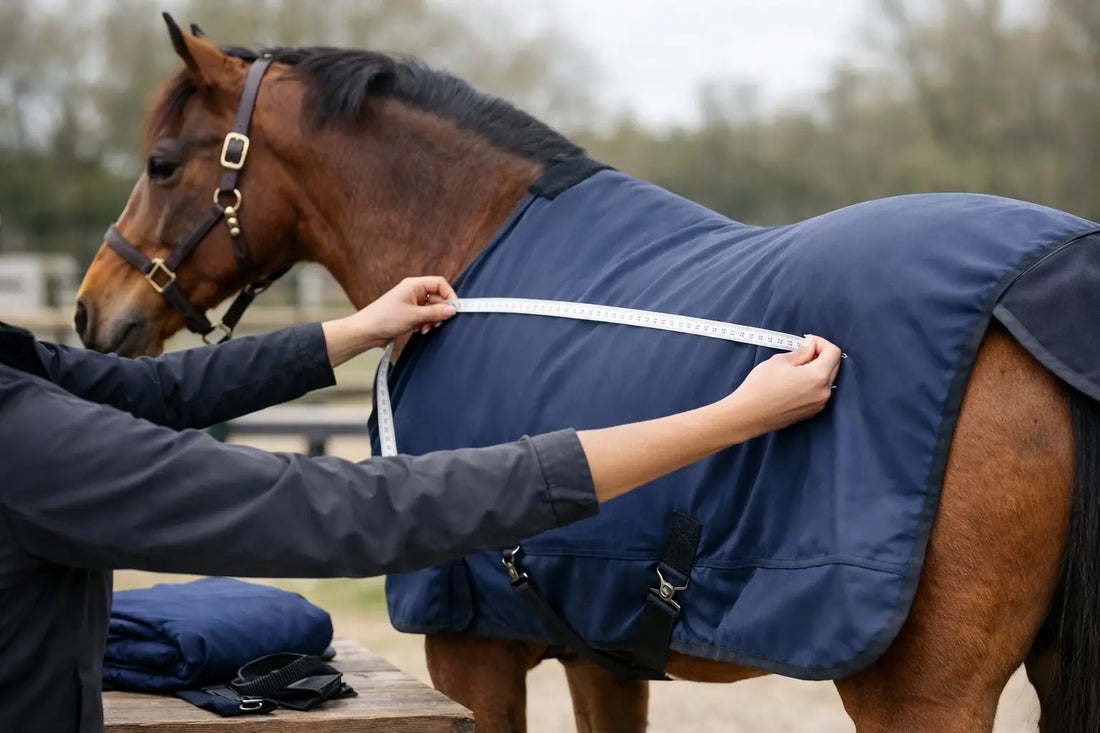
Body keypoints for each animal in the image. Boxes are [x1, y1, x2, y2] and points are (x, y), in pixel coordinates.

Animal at [73, 18, 1100, 733]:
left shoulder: (472, 652)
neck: (478, 249)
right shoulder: (600, 654)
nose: (90, 312)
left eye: (161, 164)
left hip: (919, 696)